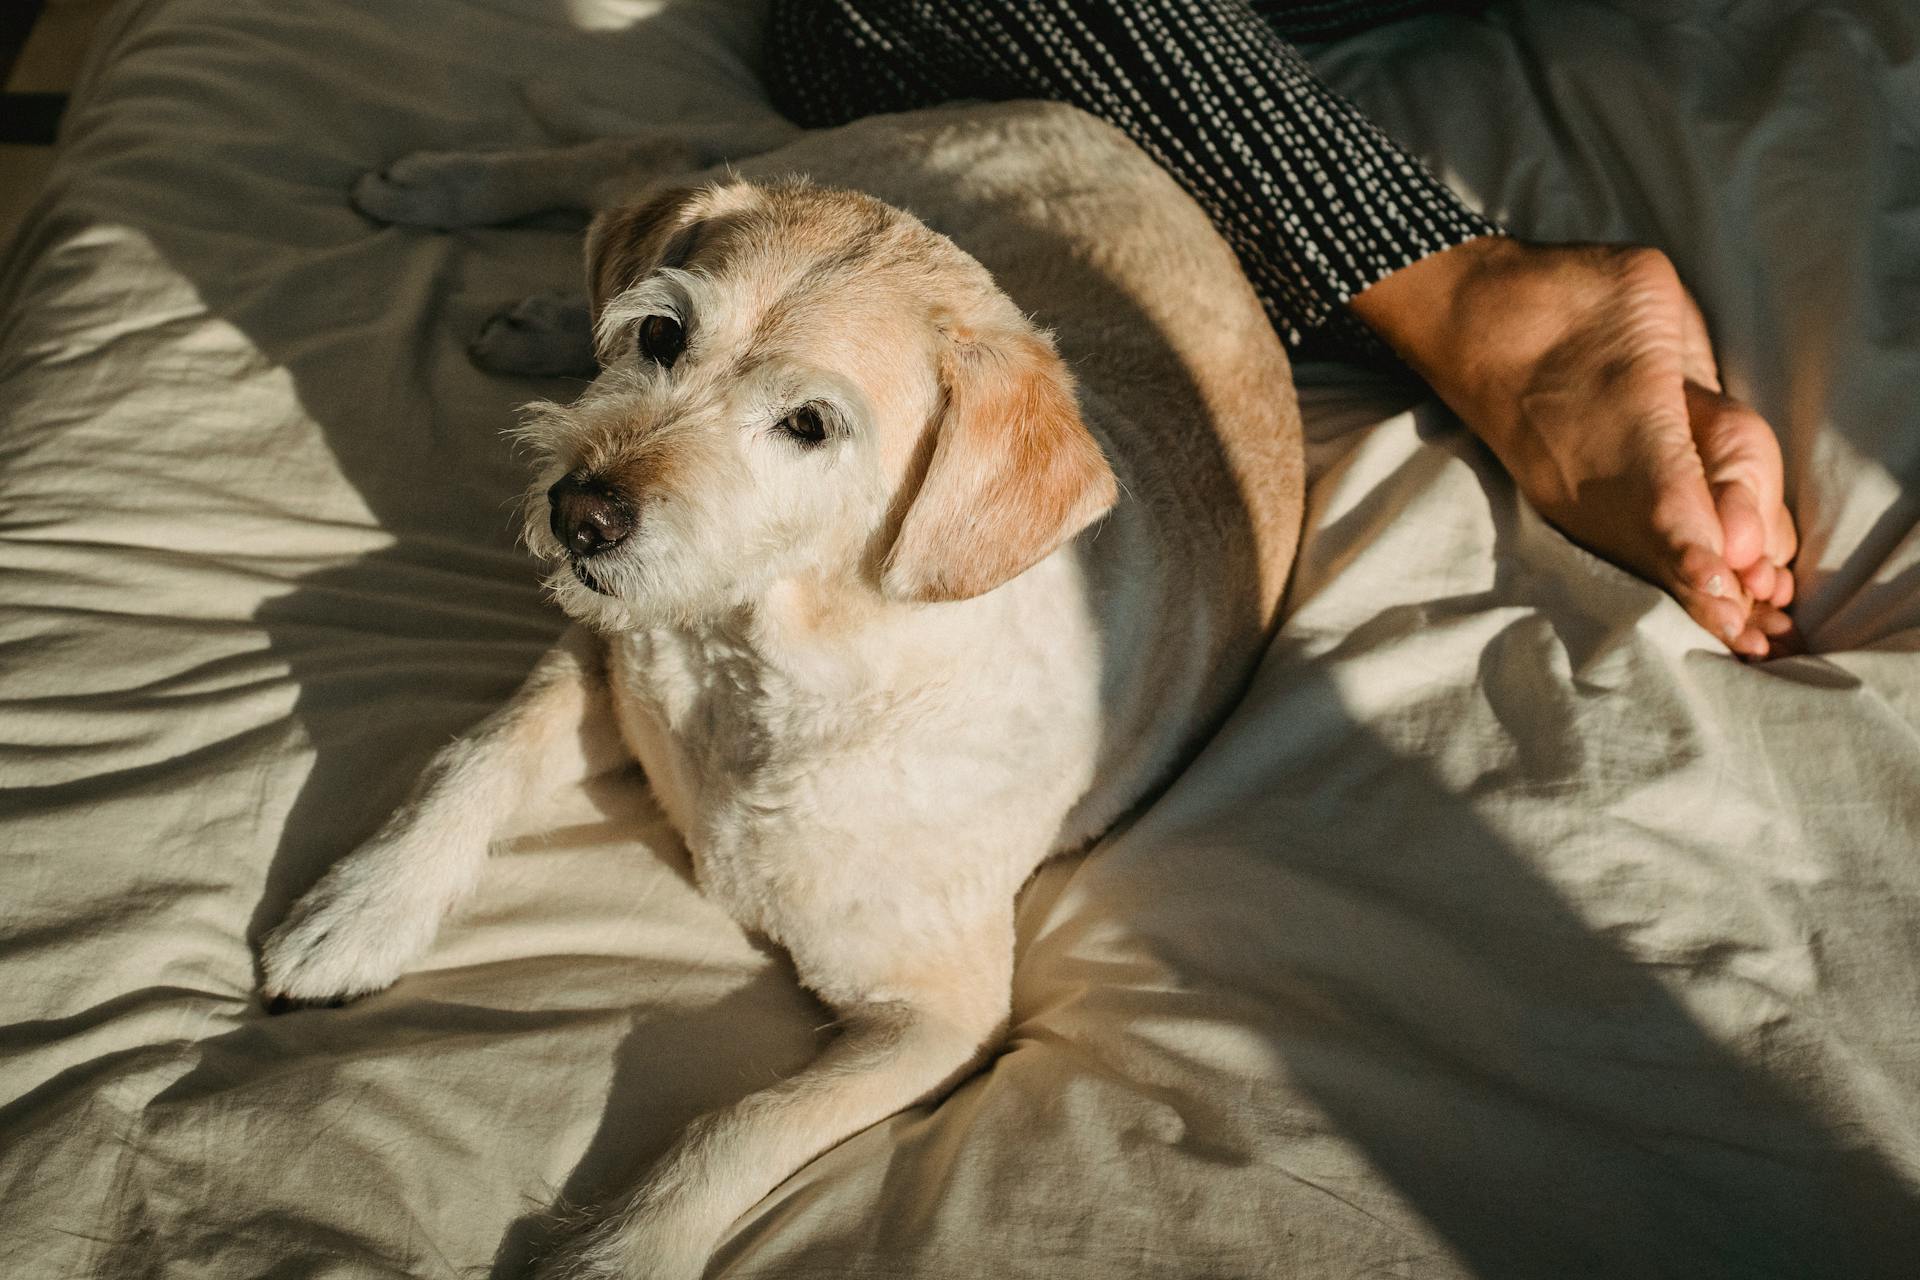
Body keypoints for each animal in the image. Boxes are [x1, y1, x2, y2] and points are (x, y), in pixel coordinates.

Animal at [259, 102, 1305, 1280]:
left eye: (810, 424)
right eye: (663, 338)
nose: (580, 512)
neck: (767, 657)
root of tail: (1100, 126)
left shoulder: (942, 1018)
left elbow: (742, 1123)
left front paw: (628, 1248)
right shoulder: (606, 661)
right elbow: (477, 756)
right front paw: (363, 906)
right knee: (643, 156)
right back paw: (450, 199)